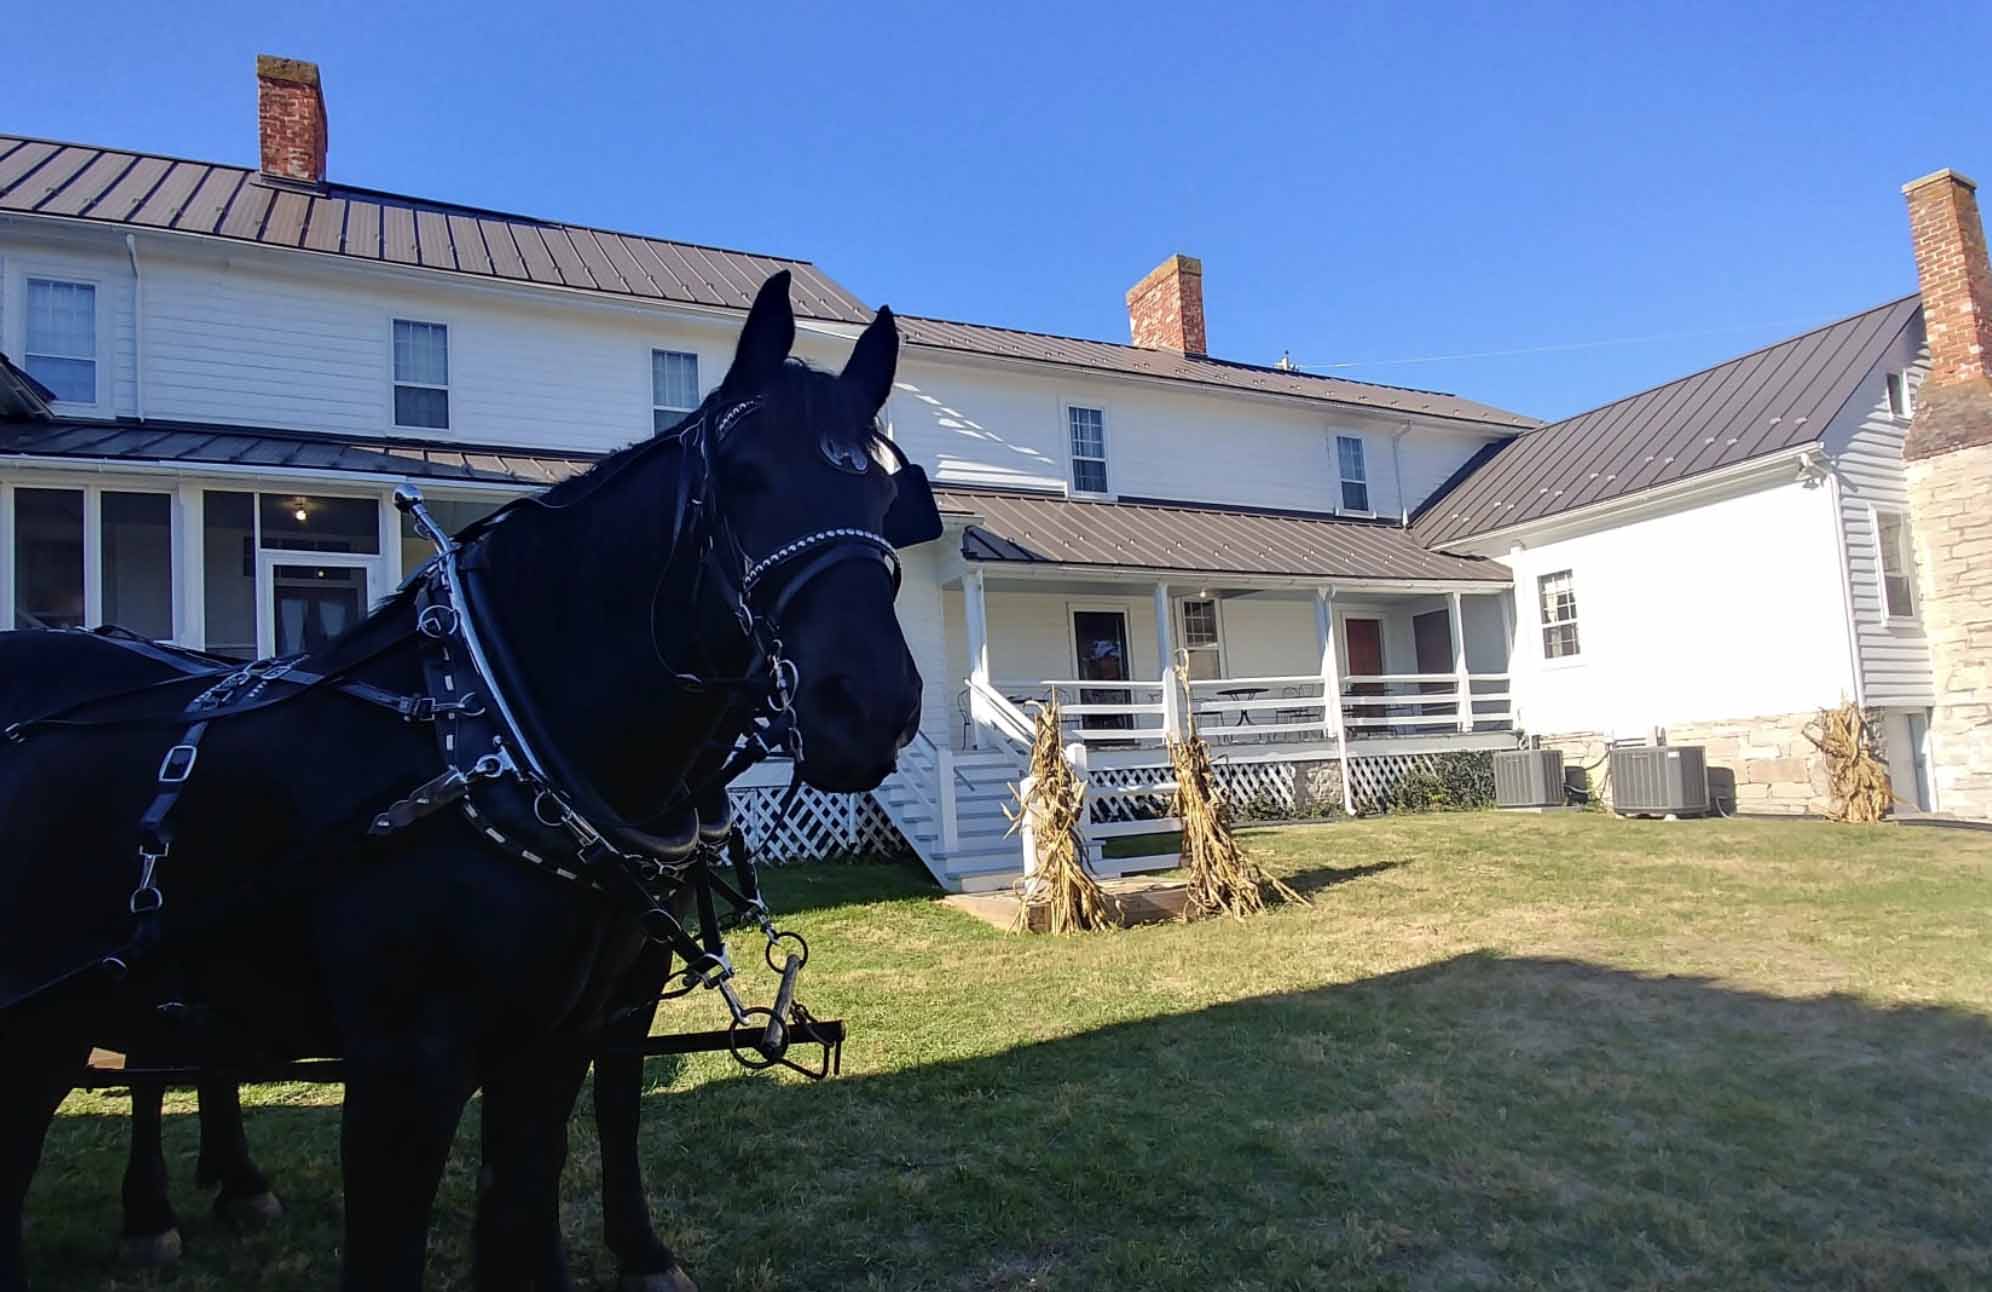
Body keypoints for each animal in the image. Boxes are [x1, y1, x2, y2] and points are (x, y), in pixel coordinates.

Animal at [0, 270, 935, 1292]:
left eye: (883, 497)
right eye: (743, 474)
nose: (870, 704)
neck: (488, 741)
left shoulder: (565, 1034)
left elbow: (532, 1198)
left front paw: (636, 1250)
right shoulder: (405, 1067)